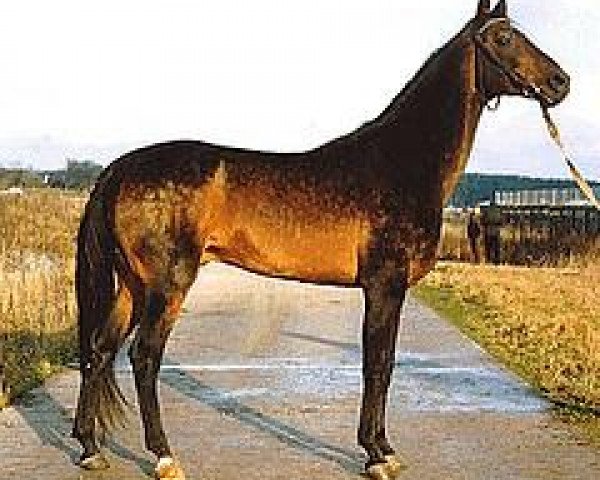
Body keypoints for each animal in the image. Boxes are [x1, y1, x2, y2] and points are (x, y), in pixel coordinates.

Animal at [72, 1, 568, 478]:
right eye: (503, 38)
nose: (560, 82)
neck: (402, 161)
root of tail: (121, 167)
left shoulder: (389, 289)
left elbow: (385, 363)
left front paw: (384, 448)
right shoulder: (384, 285)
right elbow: (377, 364)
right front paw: (376, 455)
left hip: (133, 286)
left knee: (99, 349)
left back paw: (91, 448)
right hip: (166, 286)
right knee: (143, 358)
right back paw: (164, 457)